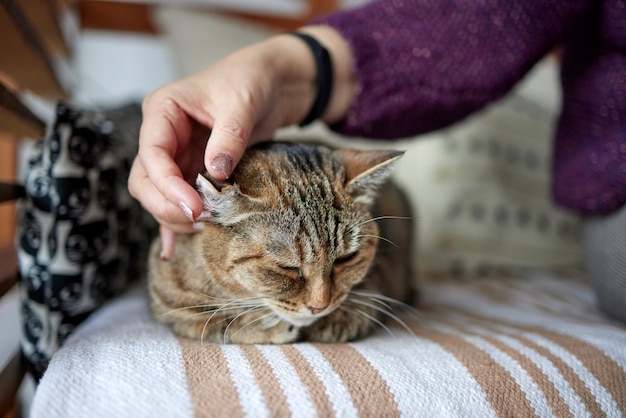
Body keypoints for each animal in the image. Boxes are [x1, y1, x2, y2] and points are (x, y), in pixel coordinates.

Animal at [145, 140, 414, 342]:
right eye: (286, 267)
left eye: (346, 259)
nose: (320, 307)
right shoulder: (169, 302)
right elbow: (212, 322)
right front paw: (261, 325)